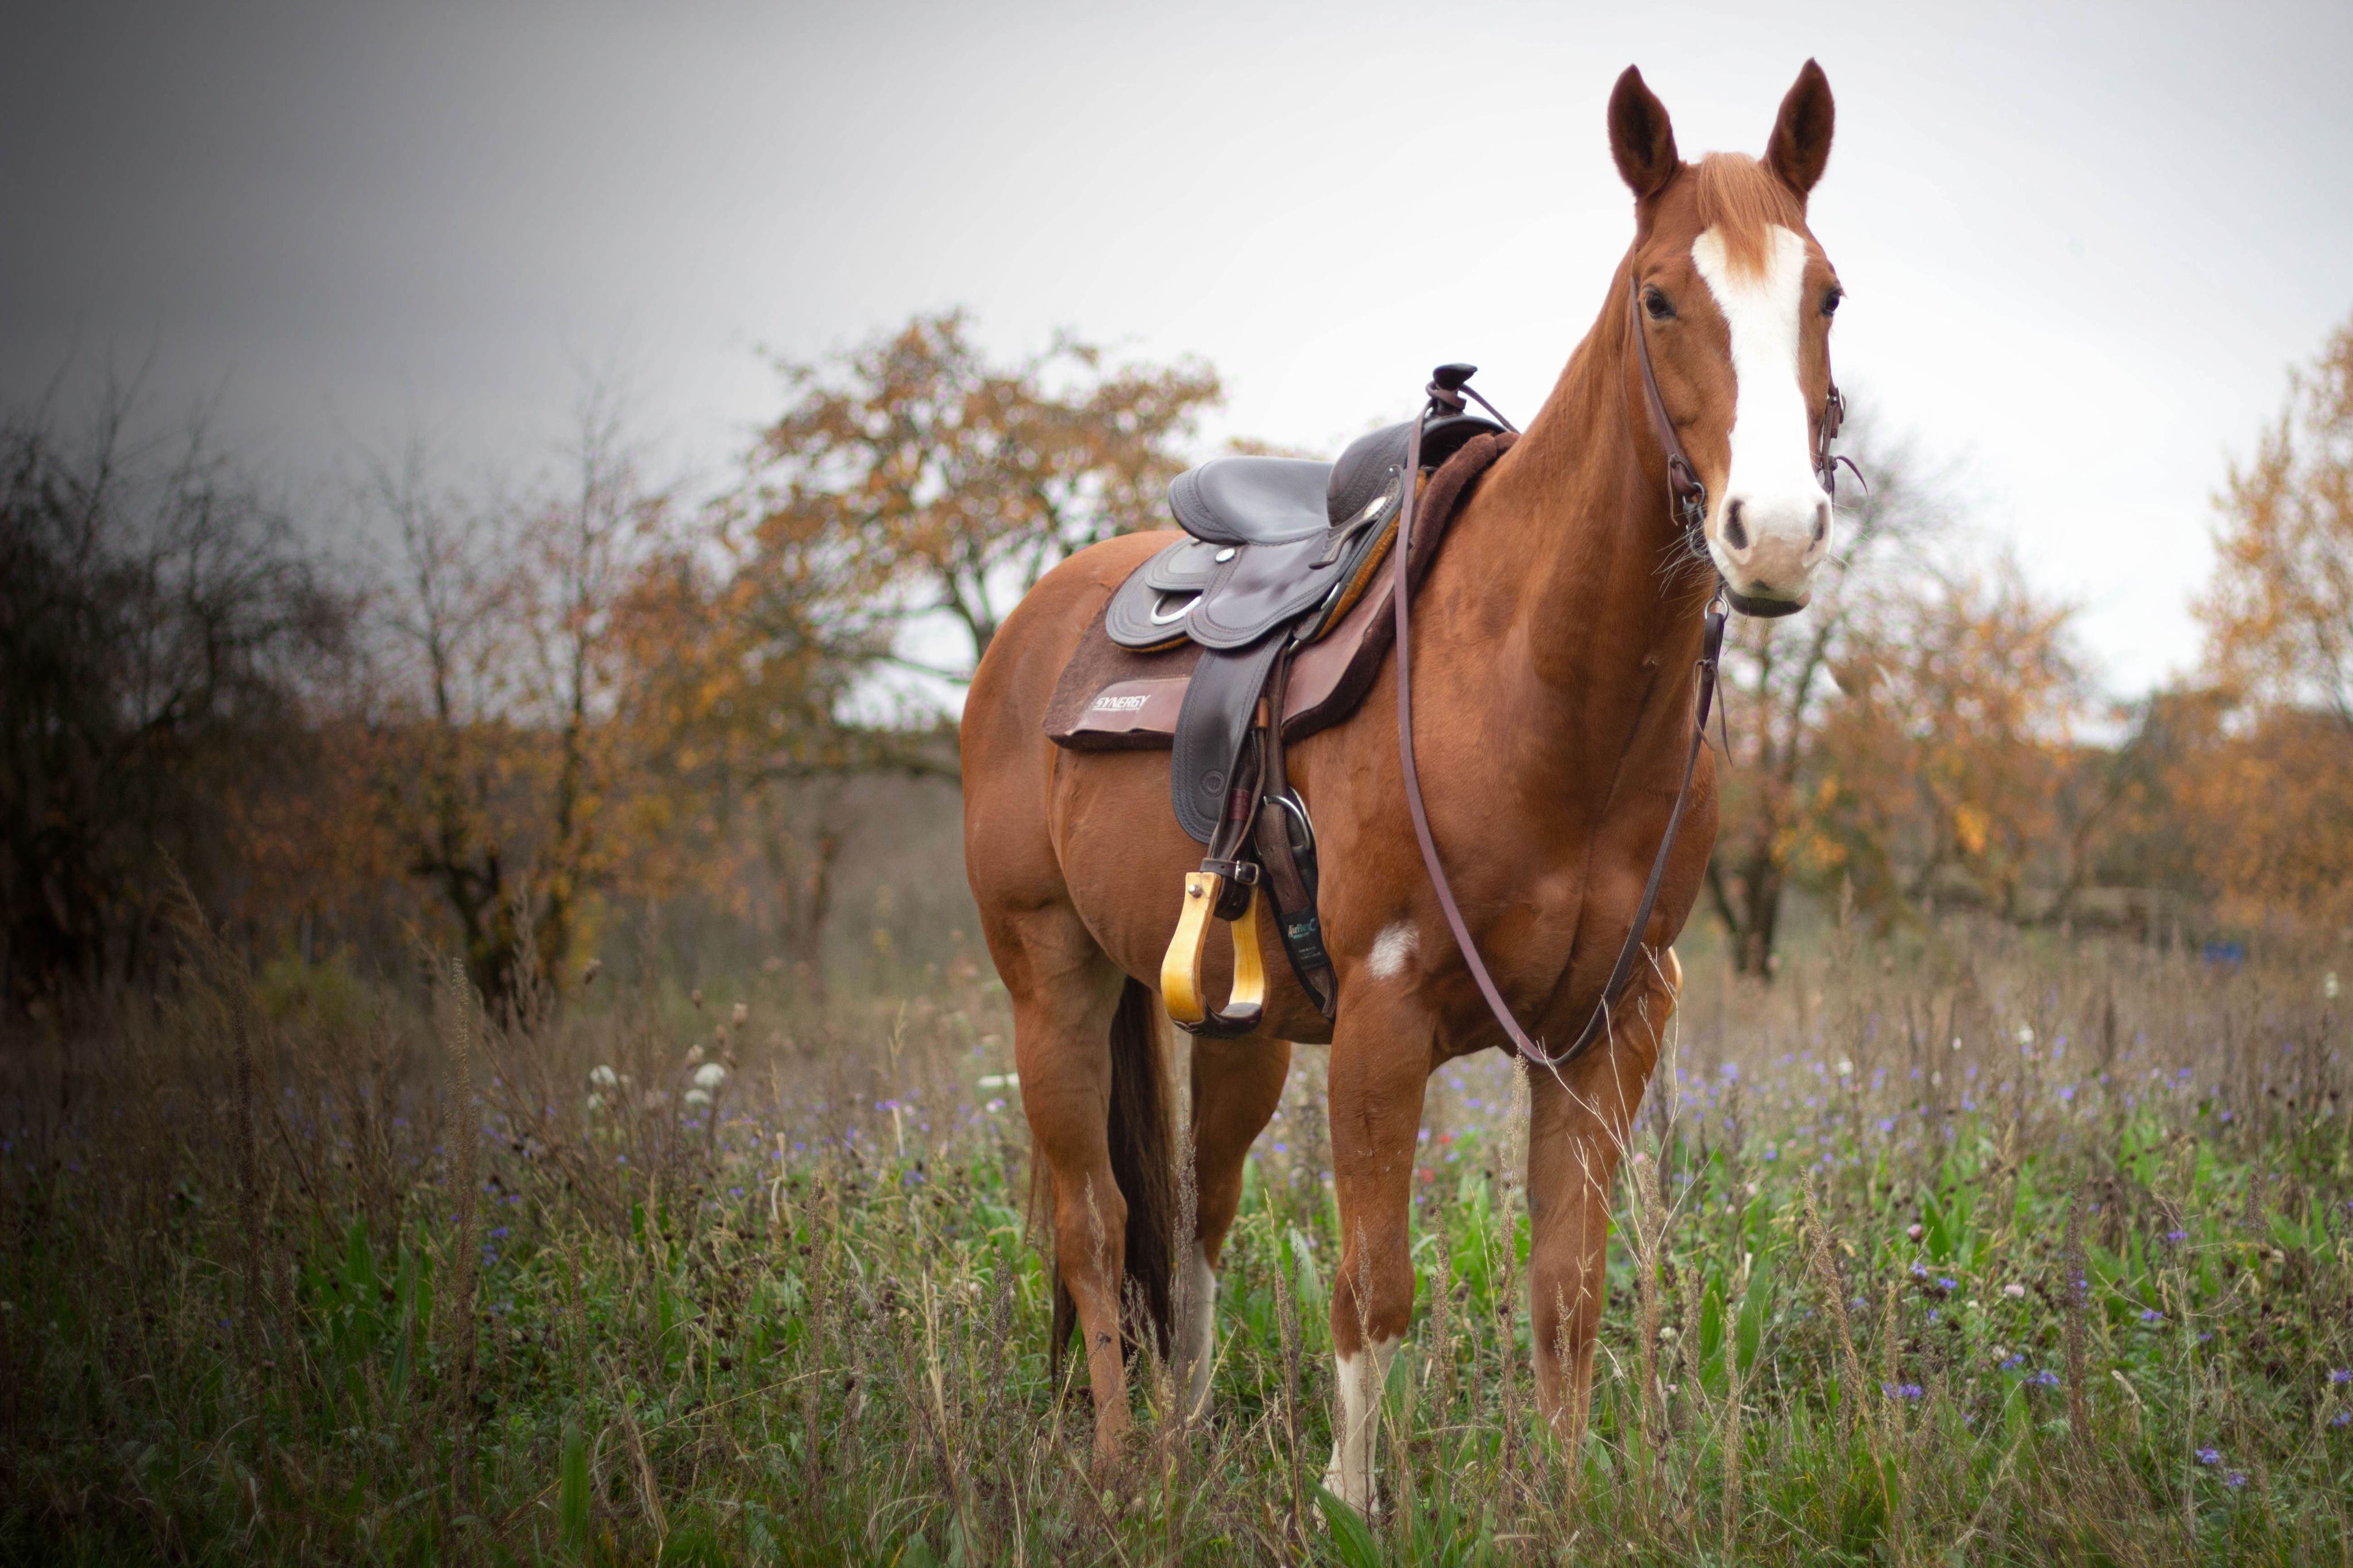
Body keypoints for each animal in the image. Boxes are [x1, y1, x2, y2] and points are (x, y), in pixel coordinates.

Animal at [959, 60, 1844, 1510]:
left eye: (1825, 293)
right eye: (1661, 296)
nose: (1771, 534)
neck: (1546, 693)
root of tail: (1036, 627)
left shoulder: (1612, 1030)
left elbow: (1568, 1290)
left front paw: (1562, 1503)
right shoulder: (1383, 1025)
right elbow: (1373, 1290)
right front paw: (1348, 1505)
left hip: (1239, 1025)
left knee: (1196, 1216)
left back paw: (1185, 1436)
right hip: (1052, 979)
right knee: (1095, 1227)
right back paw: (1119, 1461)